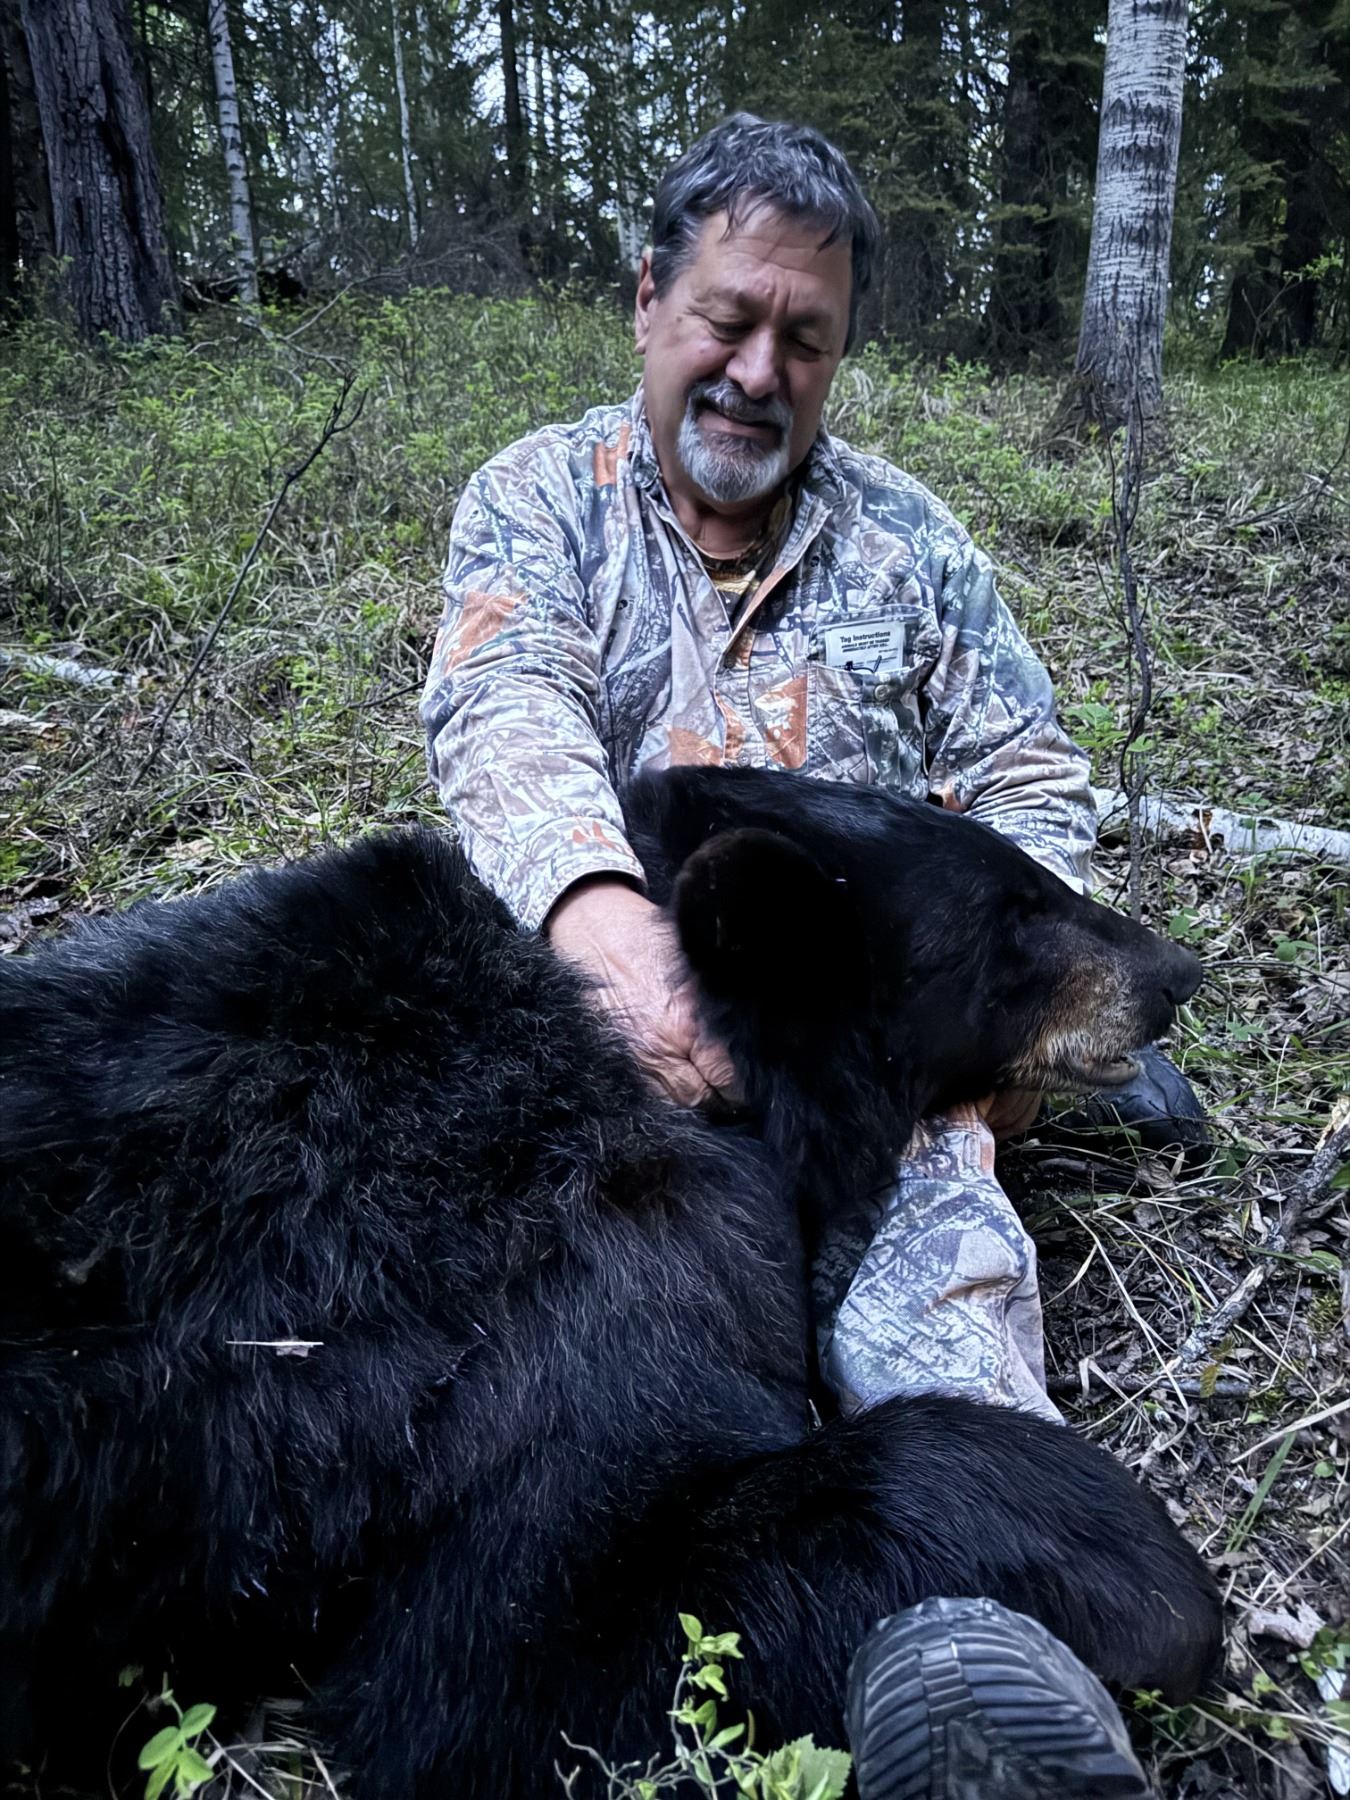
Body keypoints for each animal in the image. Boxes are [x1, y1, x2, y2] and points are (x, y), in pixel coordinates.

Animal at [0, 765, 1218, 1797]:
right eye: (1015, 917)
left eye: (1036, 877)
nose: (1175, 973)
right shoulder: (552, 1279)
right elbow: (526, 1655)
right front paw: (1133, 1567)